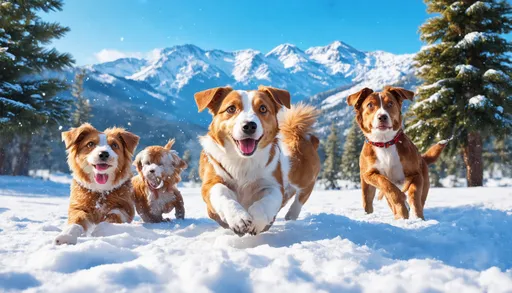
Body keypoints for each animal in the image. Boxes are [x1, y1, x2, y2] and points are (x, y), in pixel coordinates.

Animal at [195, 84, 320, 235]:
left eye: (263, 108)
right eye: (231, 108)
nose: (249, 125)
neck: (242, 162)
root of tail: (298, 133)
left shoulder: (274, 185)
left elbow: (266, 202)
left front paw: (257, 220)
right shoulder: (211, 182)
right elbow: (222, 192)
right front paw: (239, 218)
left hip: (305, 177)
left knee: (302, 195)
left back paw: (291, 215)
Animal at [344, 85, 448, 218]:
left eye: (390, 103)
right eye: (370, 105)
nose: (382, 116)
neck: (384, 143)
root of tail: (422, 158)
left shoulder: (415, 174)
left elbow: (414, 194)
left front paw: (416, 215)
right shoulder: (369, 174)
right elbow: (387, 185)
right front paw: (402, 207)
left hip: (424, 182)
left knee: (419, 198)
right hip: (366, 187)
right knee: (370, 203)